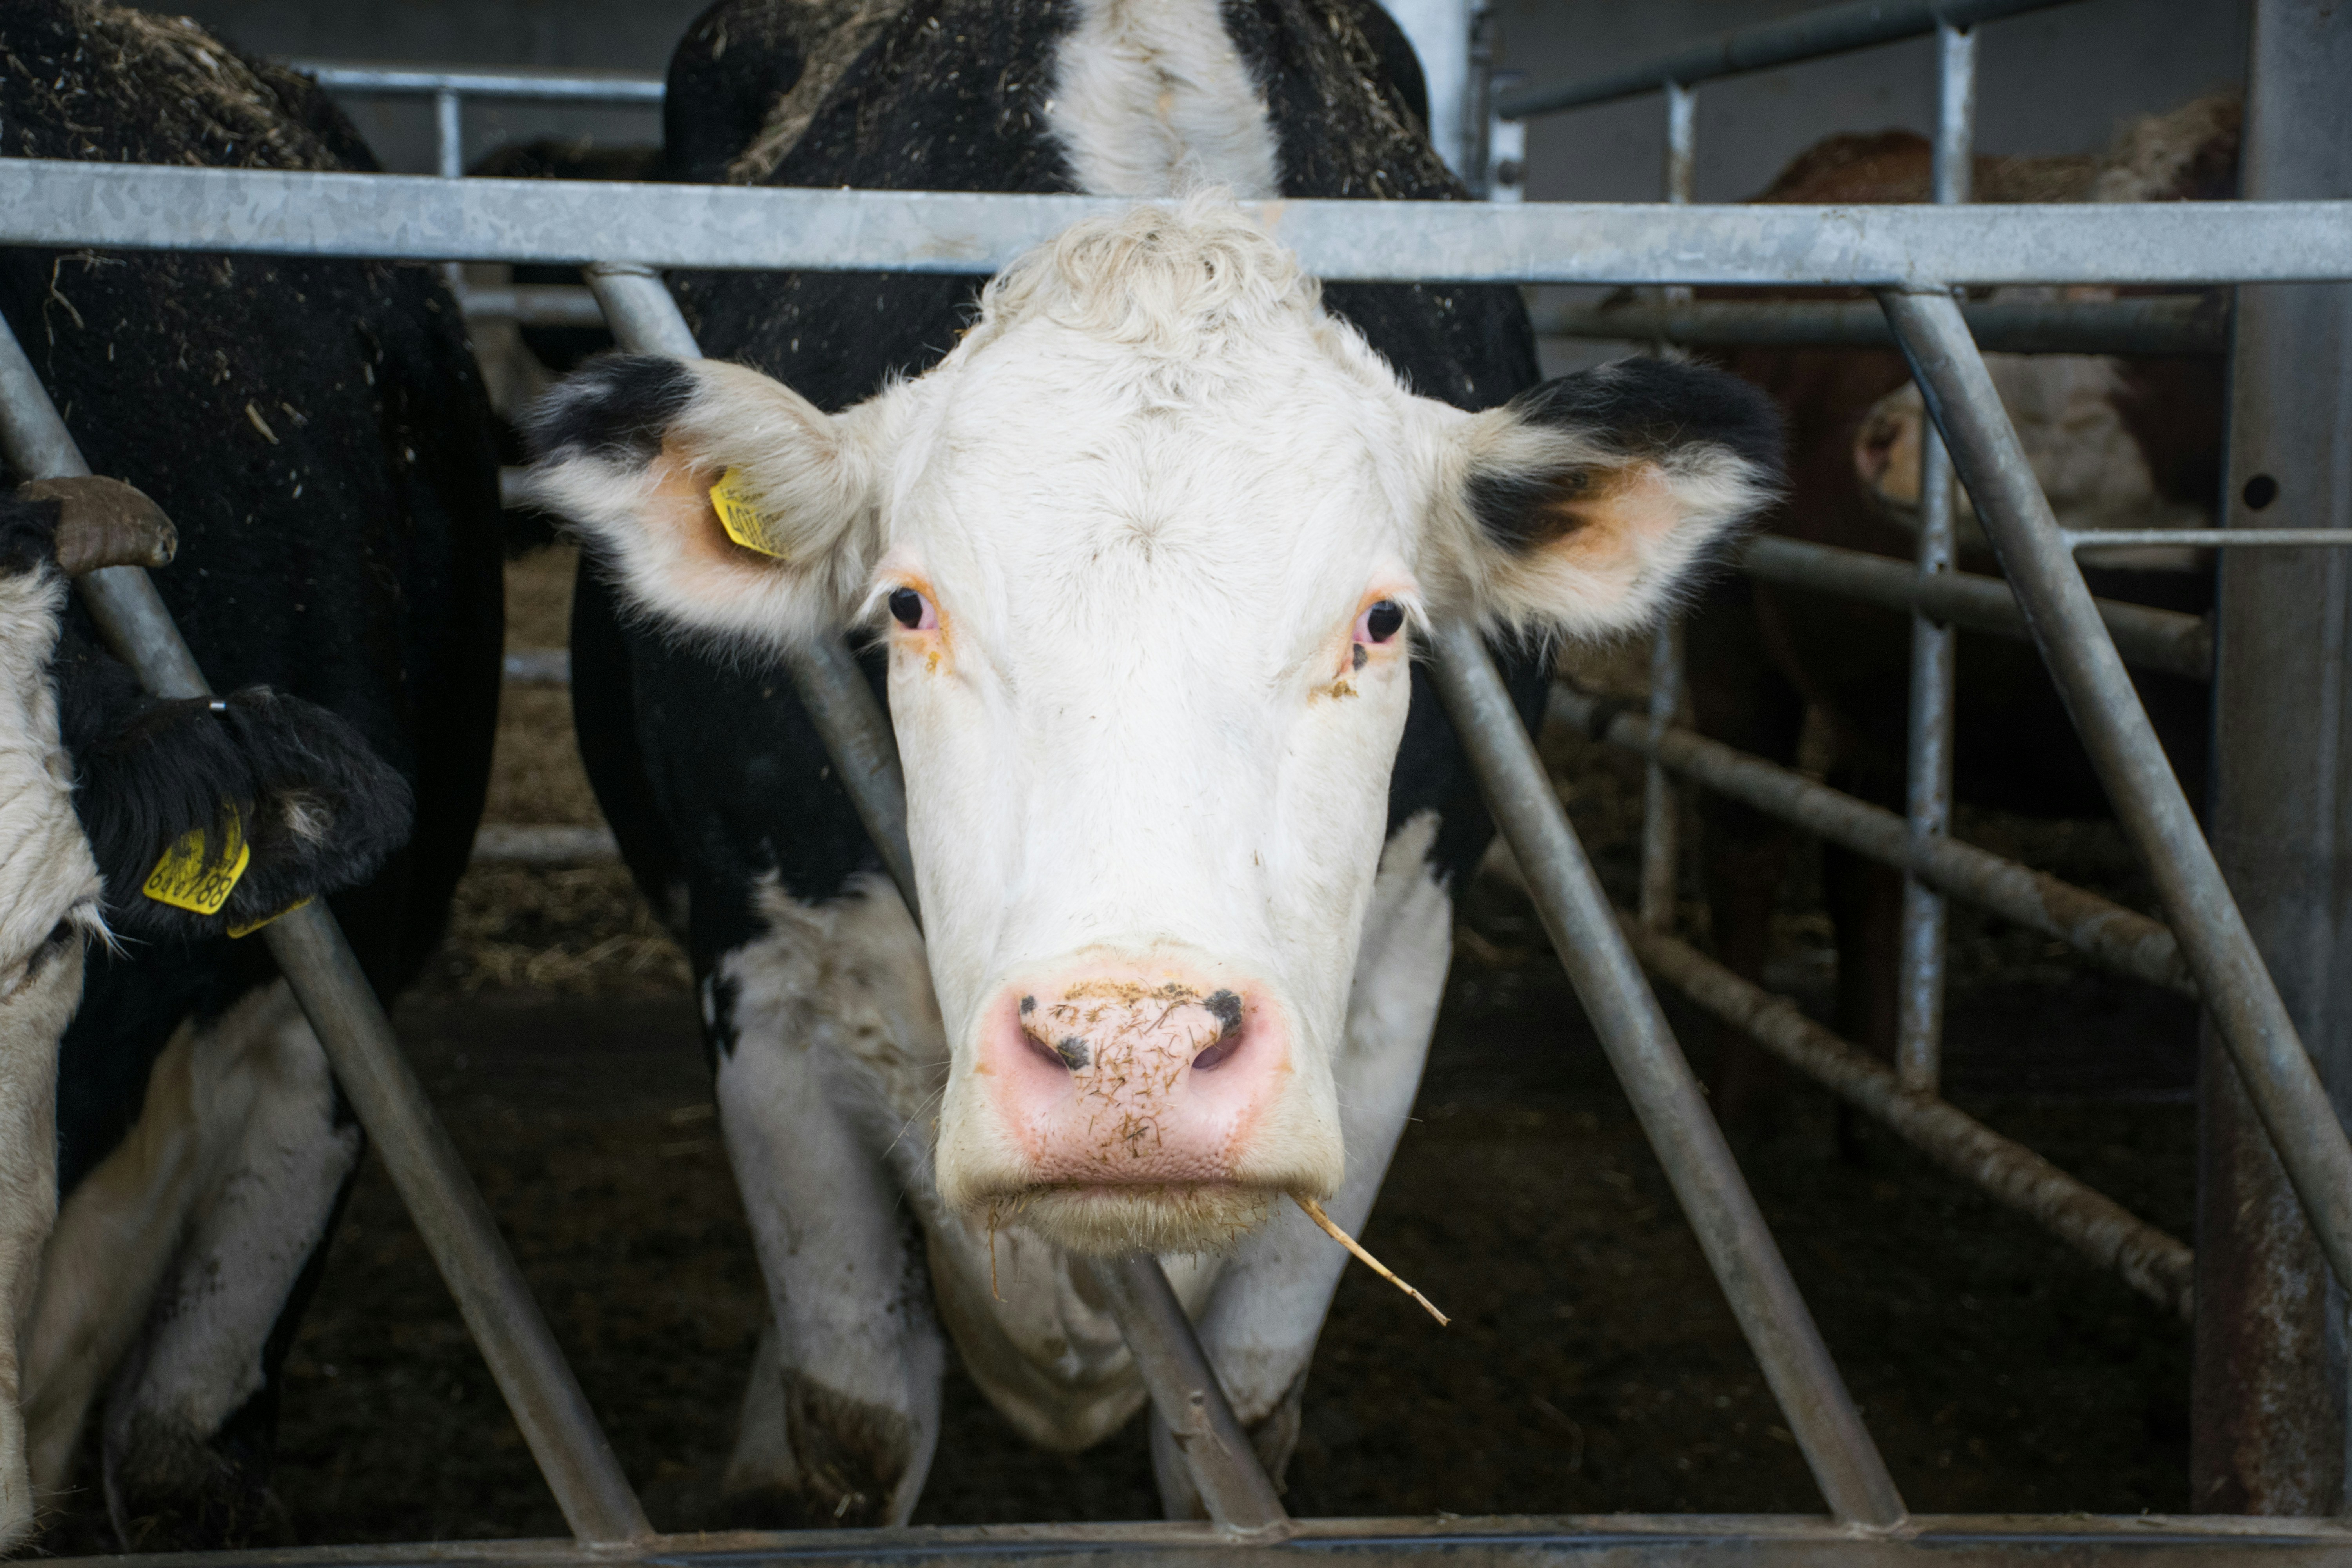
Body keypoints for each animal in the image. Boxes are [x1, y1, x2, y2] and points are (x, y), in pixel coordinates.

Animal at [526, 0, 1781, 1527]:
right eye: (908, 606)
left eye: (1381, 618)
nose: (1134, 1054)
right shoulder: (764, 985)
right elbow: (860, 1423)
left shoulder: (1391, 1003)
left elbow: (1234, 1426)